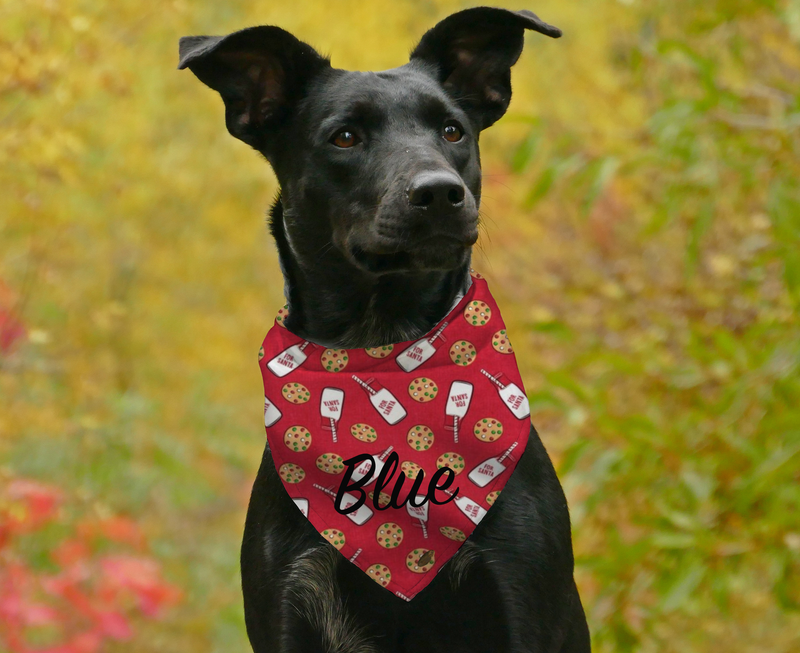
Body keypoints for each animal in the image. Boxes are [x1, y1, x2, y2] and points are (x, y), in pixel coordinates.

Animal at [181, 6, 592, 652]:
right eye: (345, 137)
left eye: (453, 131)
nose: (440, 192)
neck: (384, 345)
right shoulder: (290, 603)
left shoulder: (520, 599)